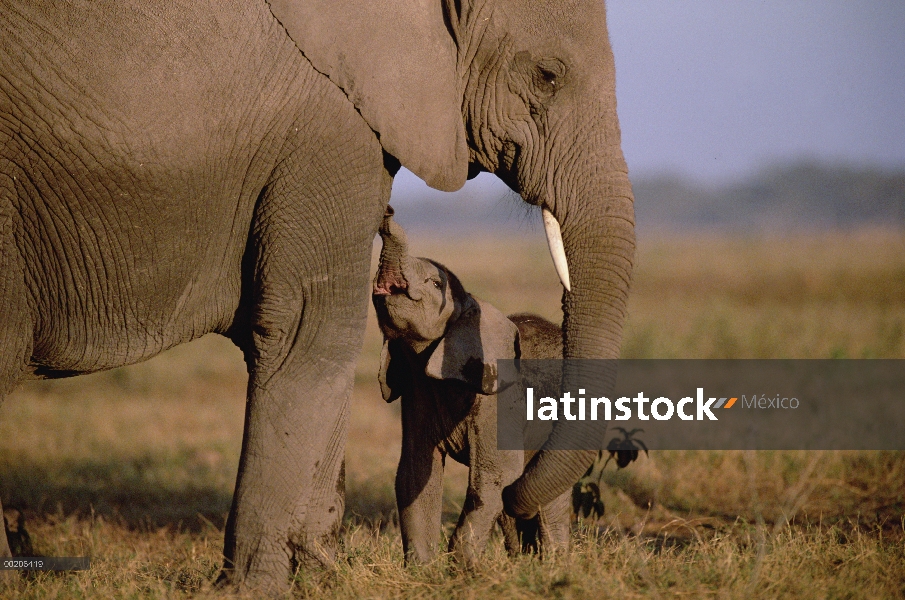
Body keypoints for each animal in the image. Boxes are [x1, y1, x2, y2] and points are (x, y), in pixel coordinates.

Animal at [370, 207, 568, 568]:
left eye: (435, 284)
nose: (388, 212)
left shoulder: (496, 398)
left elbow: (493, 473)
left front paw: (460, 568)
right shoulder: (418, 389)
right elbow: (416, 471)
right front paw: (422, 570)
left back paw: (554, 562)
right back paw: (521, 560)